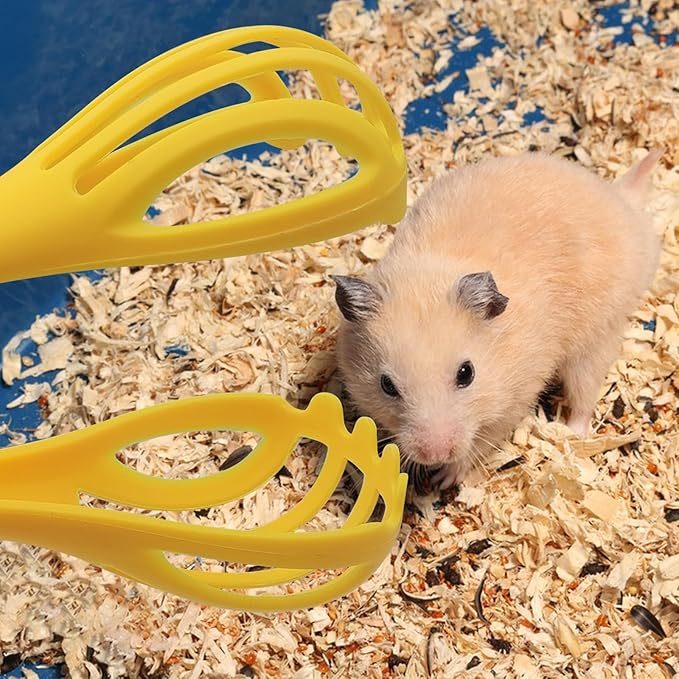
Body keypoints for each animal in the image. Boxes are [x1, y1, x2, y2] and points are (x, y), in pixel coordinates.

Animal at [331, 150, 662, 489]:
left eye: (466, 373)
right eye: (386, 385)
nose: (436, 454)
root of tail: (624, 206)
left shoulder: (516, 399)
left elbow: (483, 440)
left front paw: (445, 477)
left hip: (597, 336)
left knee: (584, 395)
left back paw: (572, 436)